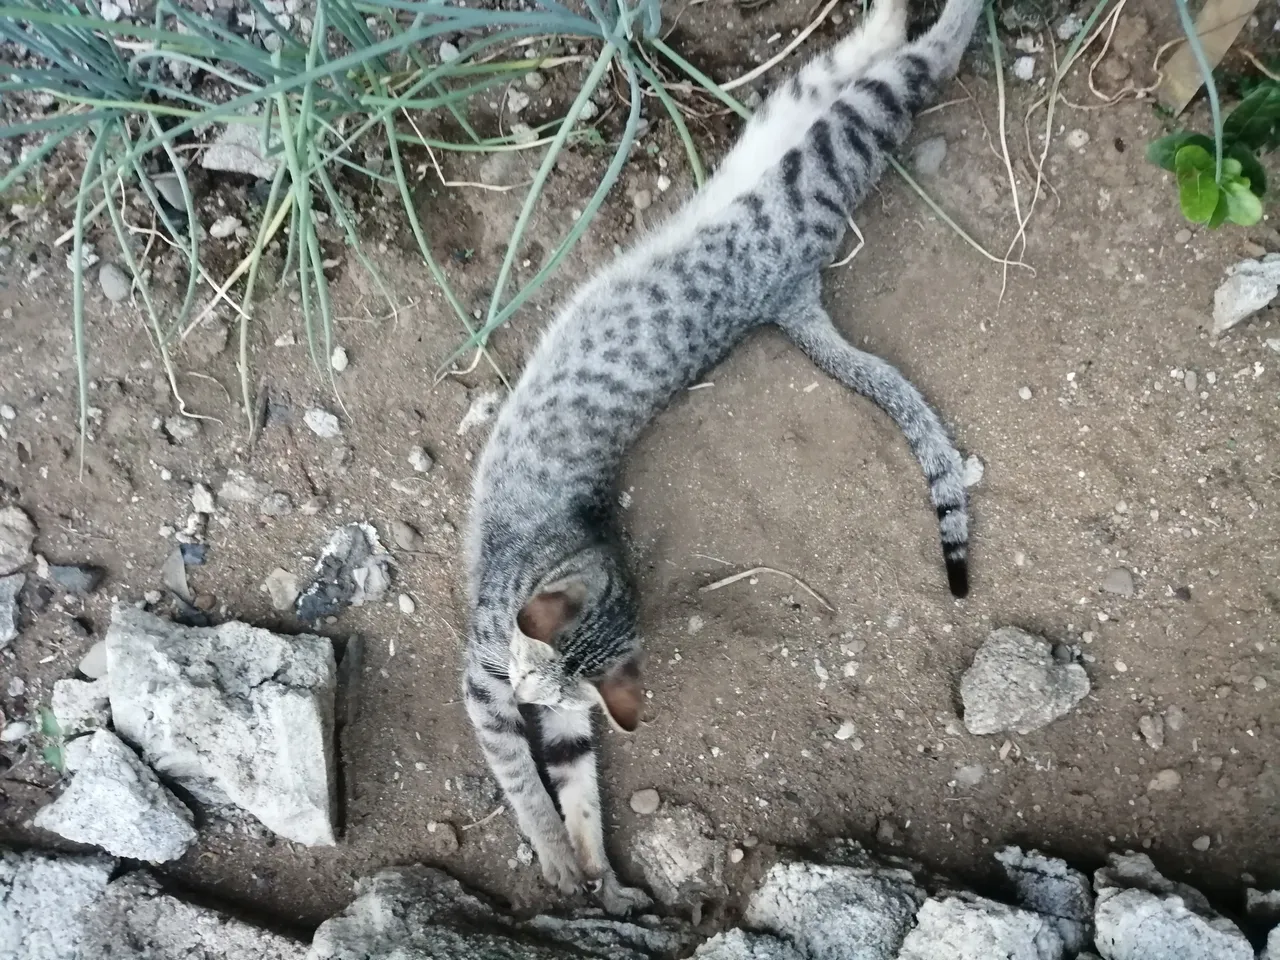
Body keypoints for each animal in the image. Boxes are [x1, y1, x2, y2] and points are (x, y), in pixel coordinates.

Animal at [460, 0, 977, 916]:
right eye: (522, 672)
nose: (522, 690)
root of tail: (793, 292)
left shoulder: (544, 703)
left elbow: (571, 777)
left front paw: (591, 862)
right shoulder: (484, 682)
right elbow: (528, 778)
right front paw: (560, 854)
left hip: (821, 142)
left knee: (906, 67)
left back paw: (928, 15)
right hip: (808, 128)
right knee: (886, 65)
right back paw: (909, 16)